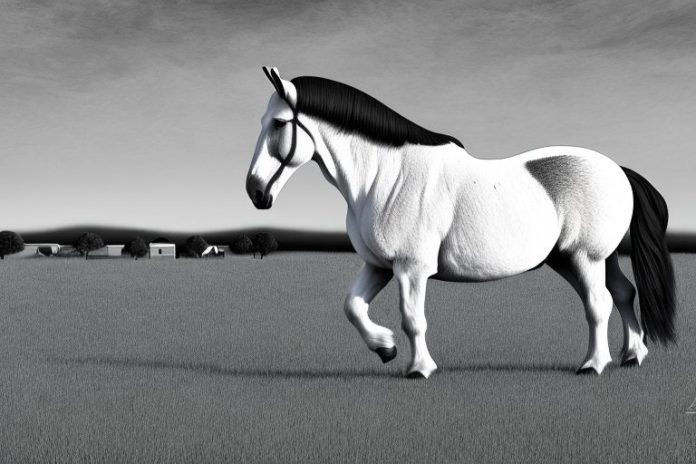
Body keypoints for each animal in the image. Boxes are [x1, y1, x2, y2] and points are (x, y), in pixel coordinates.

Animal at [246, 66, 676, 379]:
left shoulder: (411, 269)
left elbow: (413, 319)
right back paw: (632, 355)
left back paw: (593, 365)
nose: (254, 191)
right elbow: (352, 306)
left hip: (586, 258)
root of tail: (618, 169)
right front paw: (385, 348)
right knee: (623, 293)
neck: (387, 176)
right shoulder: (379, 265)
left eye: (279, 124)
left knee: (599, 303)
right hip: (579, 258)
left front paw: (419, 369)